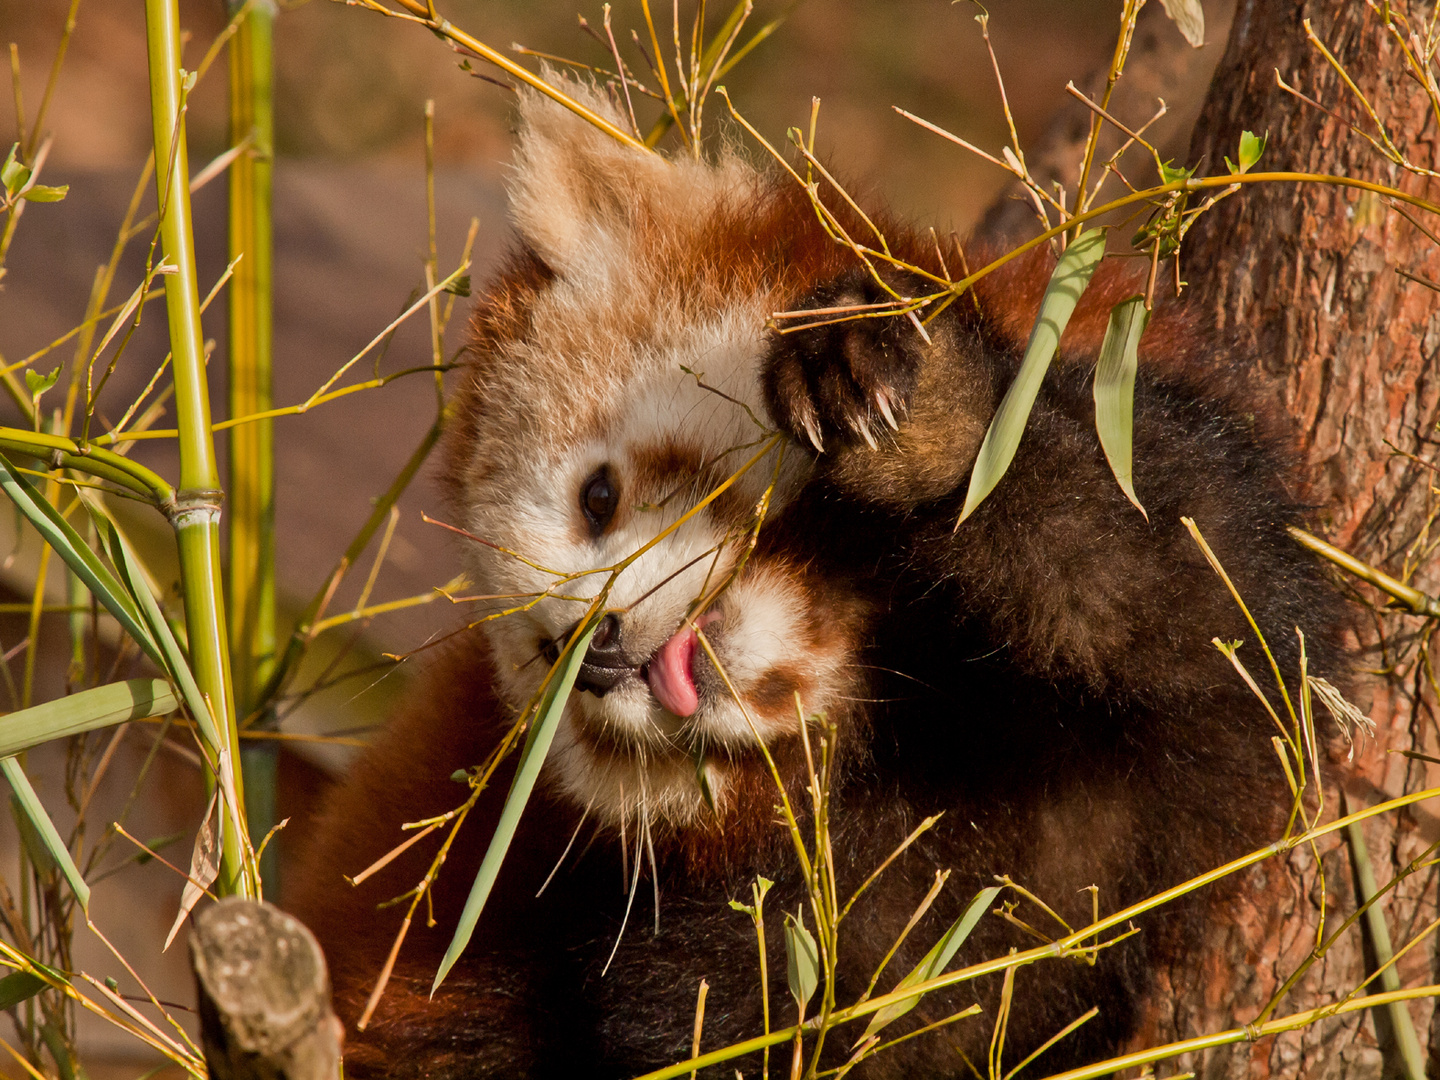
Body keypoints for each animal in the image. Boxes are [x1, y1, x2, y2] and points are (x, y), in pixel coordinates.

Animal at [286, 80, 1342, 1077]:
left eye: (598, 497)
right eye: (544, 657)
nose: (599, 656)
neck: (895, 694)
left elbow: (1183, 583)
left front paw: (920, 418)